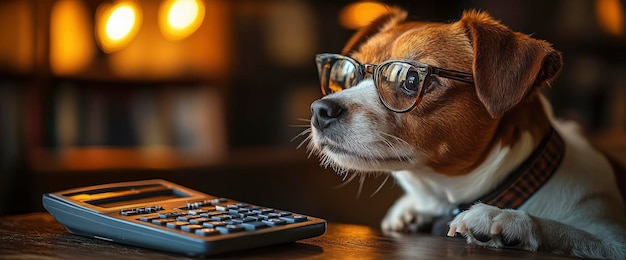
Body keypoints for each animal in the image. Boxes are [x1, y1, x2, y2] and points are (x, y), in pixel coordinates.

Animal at [306, 7, 624, 258]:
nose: (320, 110)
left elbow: (576, 234)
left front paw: (511, 220)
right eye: (345, 74)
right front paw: (411, 210)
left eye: (411, 79)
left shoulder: (611, 239)